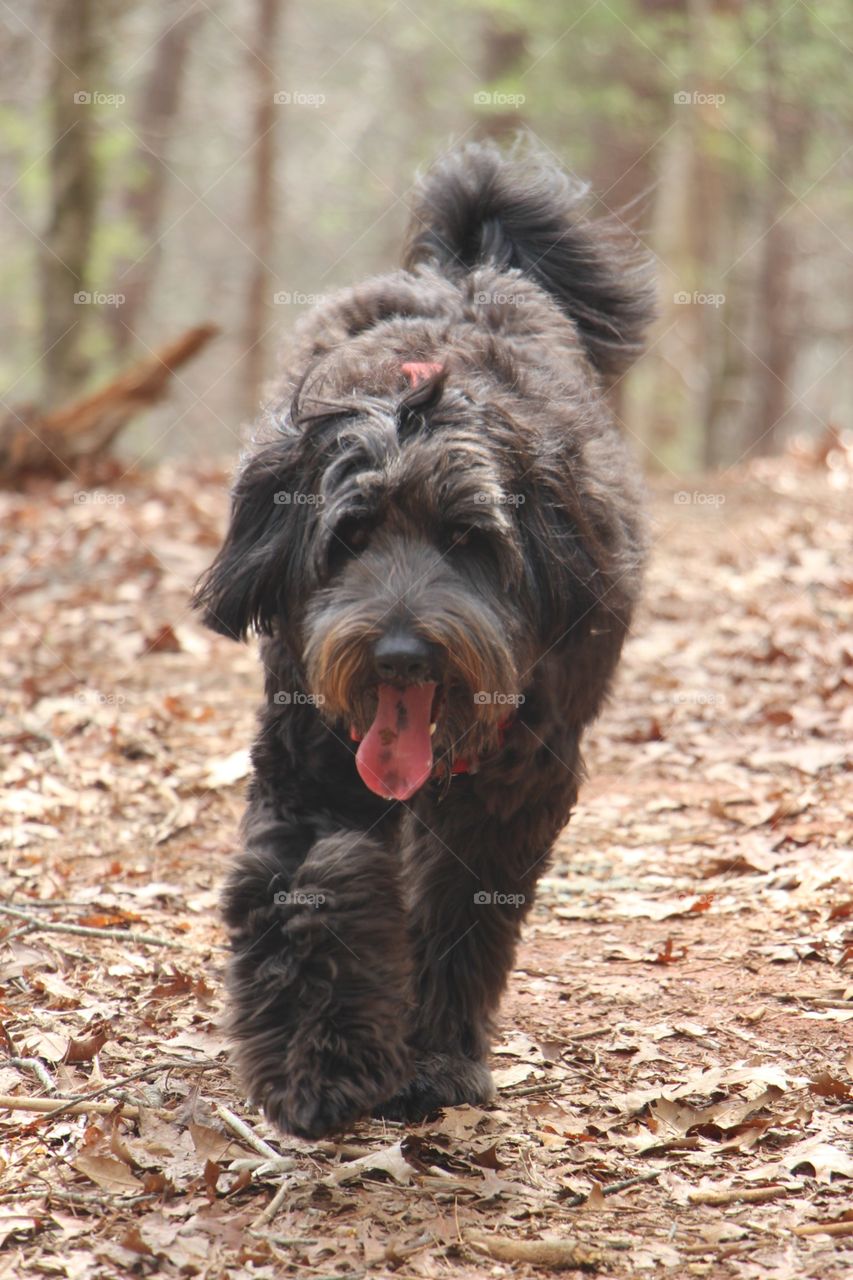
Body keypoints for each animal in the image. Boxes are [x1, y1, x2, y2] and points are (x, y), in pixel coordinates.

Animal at [194, 142, 650, 1141]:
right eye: (350, 537)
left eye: (469, 539)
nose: (400, 657)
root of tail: (463, 269)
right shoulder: (308, 762)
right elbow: (317, 877)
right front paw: (318, 1065)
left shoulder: (516, 786)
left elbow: (457, 909)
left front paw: (434, 1059)